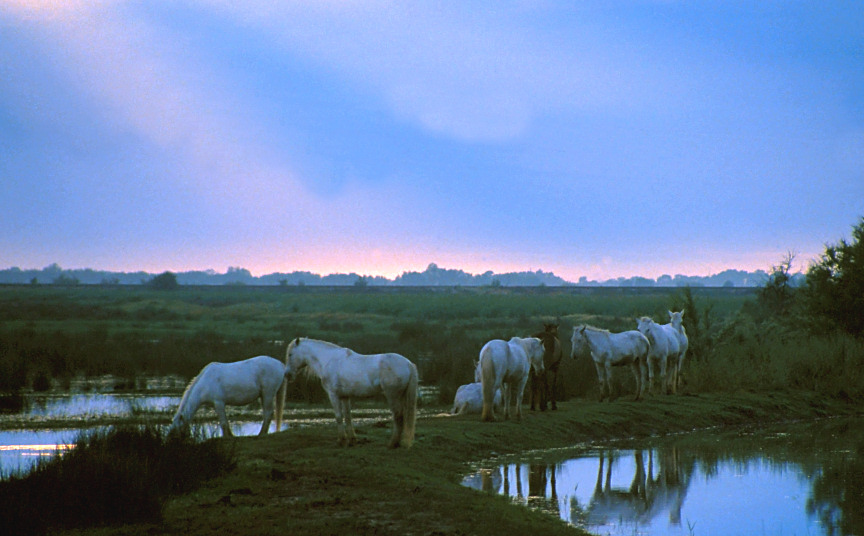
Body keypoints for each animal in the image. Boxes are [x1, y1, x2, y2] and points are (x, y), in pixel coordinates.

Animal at [284, 340, 418, 448]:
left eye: (290, 354)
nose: (287, 375)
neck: (329, 360)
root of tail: (408, 364)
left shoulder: (333, 395)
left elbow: (338, 416)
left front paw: (341, 441)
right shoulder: (345, 396)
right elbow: (348, 417)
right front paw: (352, 440)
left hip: (392, 396)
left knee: (398, 416)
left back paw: (392, 444)